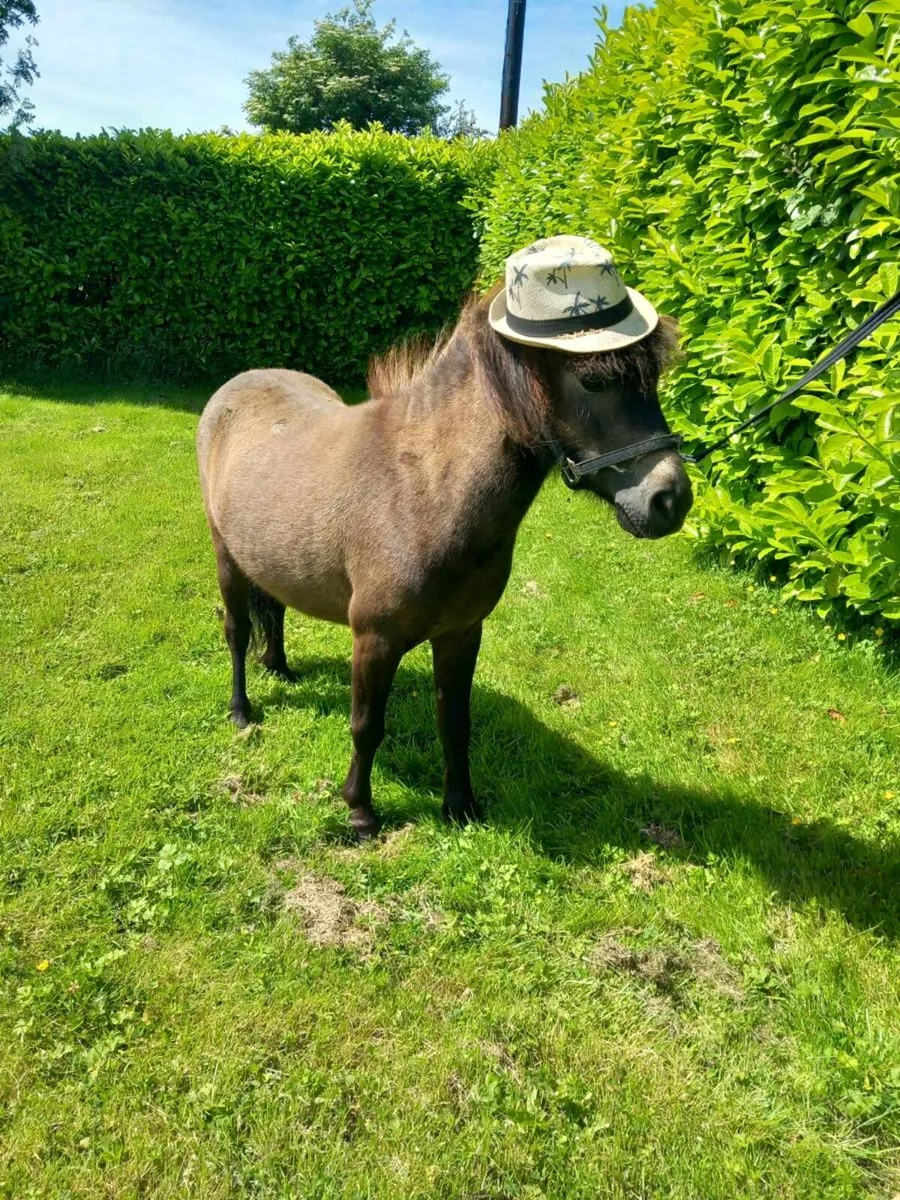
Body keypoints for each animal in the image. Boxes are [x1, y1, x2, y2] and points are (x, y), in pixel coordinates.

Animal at [196, 286, 693, 839]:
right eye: (594, 381)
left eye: (653, 377)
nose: (670, 500)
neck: (421, 491)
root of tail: (235, 388)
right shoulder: (374, 639)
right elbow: (367, 726)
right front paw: (361, 812)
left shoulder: (461, 634)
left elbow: (454, 722)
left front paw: (460, 806)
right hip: (226, 557)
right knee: (237, 631)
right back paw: (242, 712)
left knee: (276, 610)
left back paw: (280, 669)